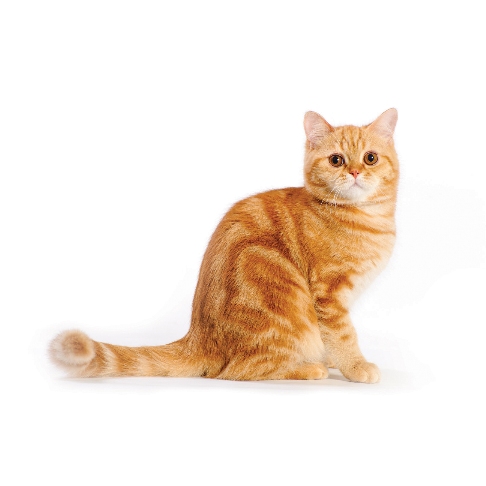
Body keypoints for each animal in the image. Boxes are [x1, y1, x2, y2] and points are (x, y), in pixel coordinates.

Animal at [49, 108, 398, 383]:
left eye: (370, 158)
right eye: (336, 160)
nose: (355, 172)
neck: (367, 219)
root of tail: (196, 338)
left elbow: (334, 338)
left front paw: (339, 361)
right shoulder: (329, 295)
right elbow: (343, 336)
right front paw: (356, 367)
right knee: (240, 370)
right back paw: (309, 368)